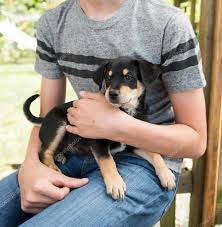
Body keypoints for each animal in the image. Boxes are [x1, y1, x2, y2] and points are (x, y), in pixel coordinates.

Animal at [23, 56, 176, 200]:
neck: (125, 111)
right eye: (107, 78)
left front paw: (167, 175)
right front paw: (115, 184)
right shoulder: (97, 142)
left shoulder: (136, 141)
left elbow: (155, 155)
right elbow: (108, 161)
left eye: (128, 77)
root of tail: (44, 119)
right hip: (58, 125)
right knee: (43, 152)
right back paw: (54, 169)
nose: (112, 94)